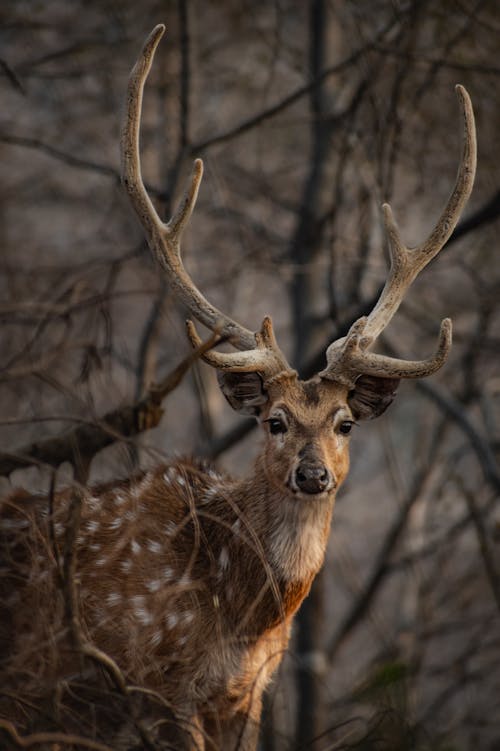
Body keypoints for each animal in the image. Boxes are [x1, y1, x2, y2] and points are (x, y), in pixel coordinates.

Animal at [0, 20, 476, 751]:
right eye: (274, 420)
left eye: (344, 421)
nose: (313, 474)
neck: (246, 616)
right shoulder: (154, 688)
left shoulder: (249, 692)